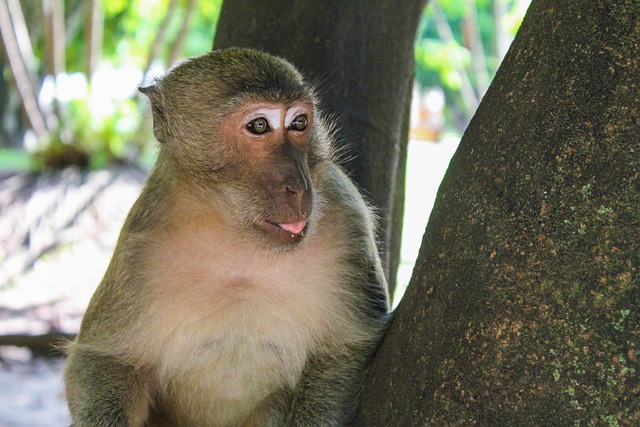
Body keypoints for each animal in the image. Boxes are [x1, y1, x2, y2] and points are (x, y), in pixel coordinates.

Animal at [64, 47, 390, 427]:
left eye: (299, 123)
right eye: (259, 126)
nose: (299, 187)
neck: (236, 233)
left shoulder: (346, 214)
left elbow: (344, 344)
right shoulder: (138, 244)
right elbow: (104, 359)